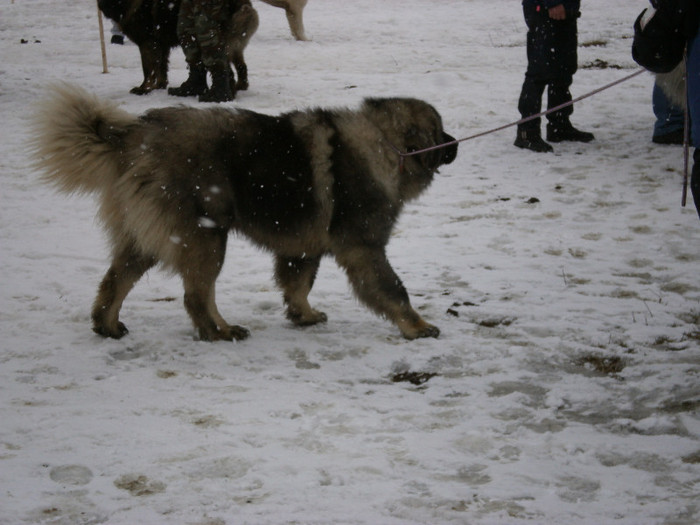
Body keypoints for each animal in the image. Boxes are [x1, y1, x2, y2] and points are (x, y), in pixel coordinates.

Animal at [97, 0, 304, 94]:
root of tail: (245, 4)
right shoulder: (161, 45)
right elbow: (161, 67)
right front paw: (159, 85)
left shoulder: (148, 43)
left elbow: (148, 69)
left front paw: (144, 88)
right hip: (235, 45)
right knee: (241, 67)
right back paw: (239, 86)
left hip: (218, 39)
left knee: (225, 67)